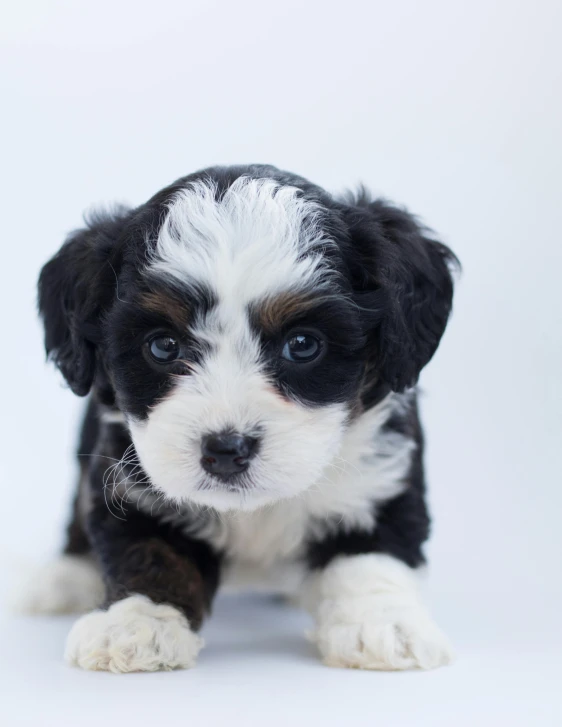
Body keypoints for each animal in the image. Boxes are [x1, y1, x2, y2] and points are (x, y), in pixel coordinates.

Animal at [25, 164, 456, 672]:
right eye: (163, 346)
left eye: (303, 344)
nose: (226, 450)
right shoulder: (126, 477)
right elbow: (148, 548)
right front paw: (138, 622)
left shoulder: (380, 471)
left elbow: (371, 551)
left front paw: (382, 624)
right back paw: (66, 578)